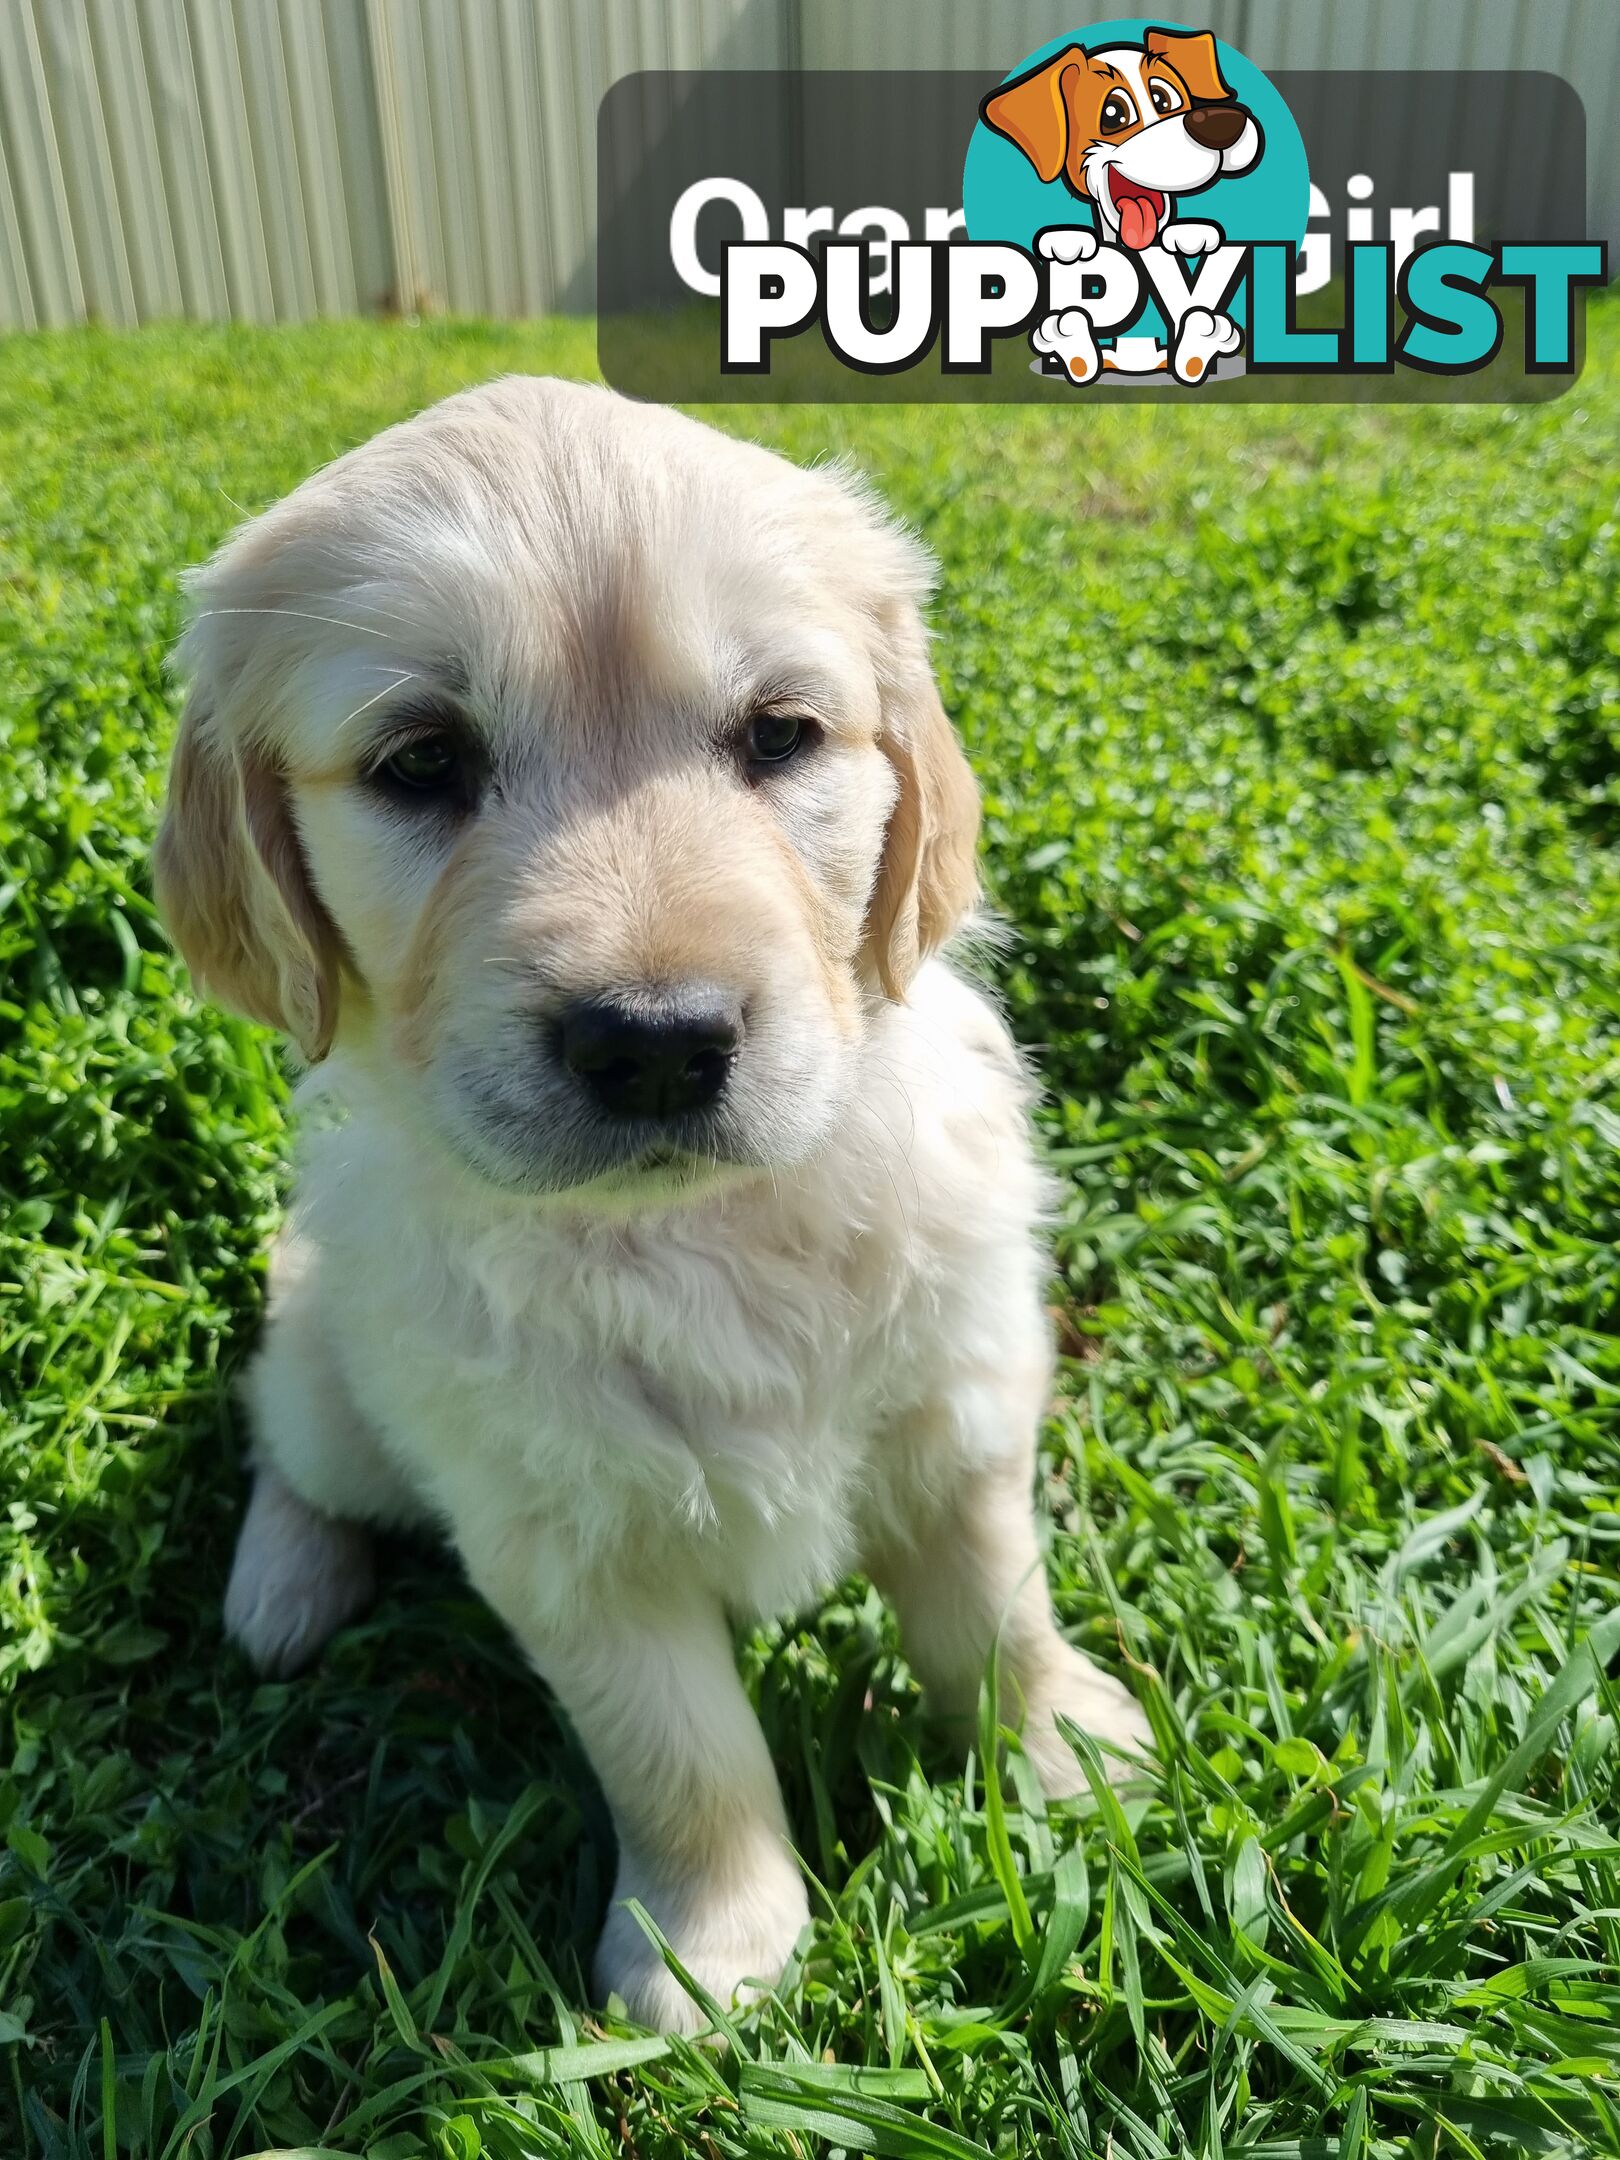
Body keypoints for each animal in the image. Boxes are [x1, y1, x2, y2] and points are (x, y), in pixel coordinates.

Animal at [155, 380, 1157, 2030]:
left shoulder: (960, 1411)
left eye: (781, 735)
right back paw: (280, 1589)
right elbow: (682, 1753)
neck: (702, 1231)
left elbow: (999, 1609)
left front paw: (1067, 1749)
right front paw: (714, 1949)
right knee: (296, 1451)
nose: (658, 1043)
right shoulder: (561, 1533)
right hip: (332, 1372)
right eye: (421, 761)